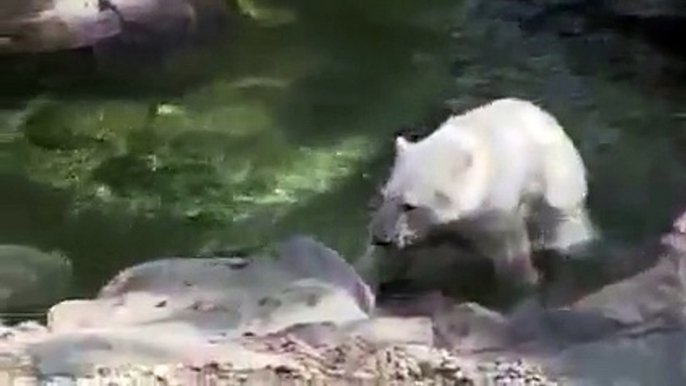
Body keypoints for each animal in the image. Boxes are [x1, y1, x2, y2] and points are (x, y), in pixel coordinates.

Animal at [368, 98, 600, 288]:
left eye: (410, 205)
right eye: (385, 195)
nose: (380, 239)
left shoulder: (496, 205)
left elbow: (509, 249)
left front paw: (526, 281)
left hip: (558, 186)